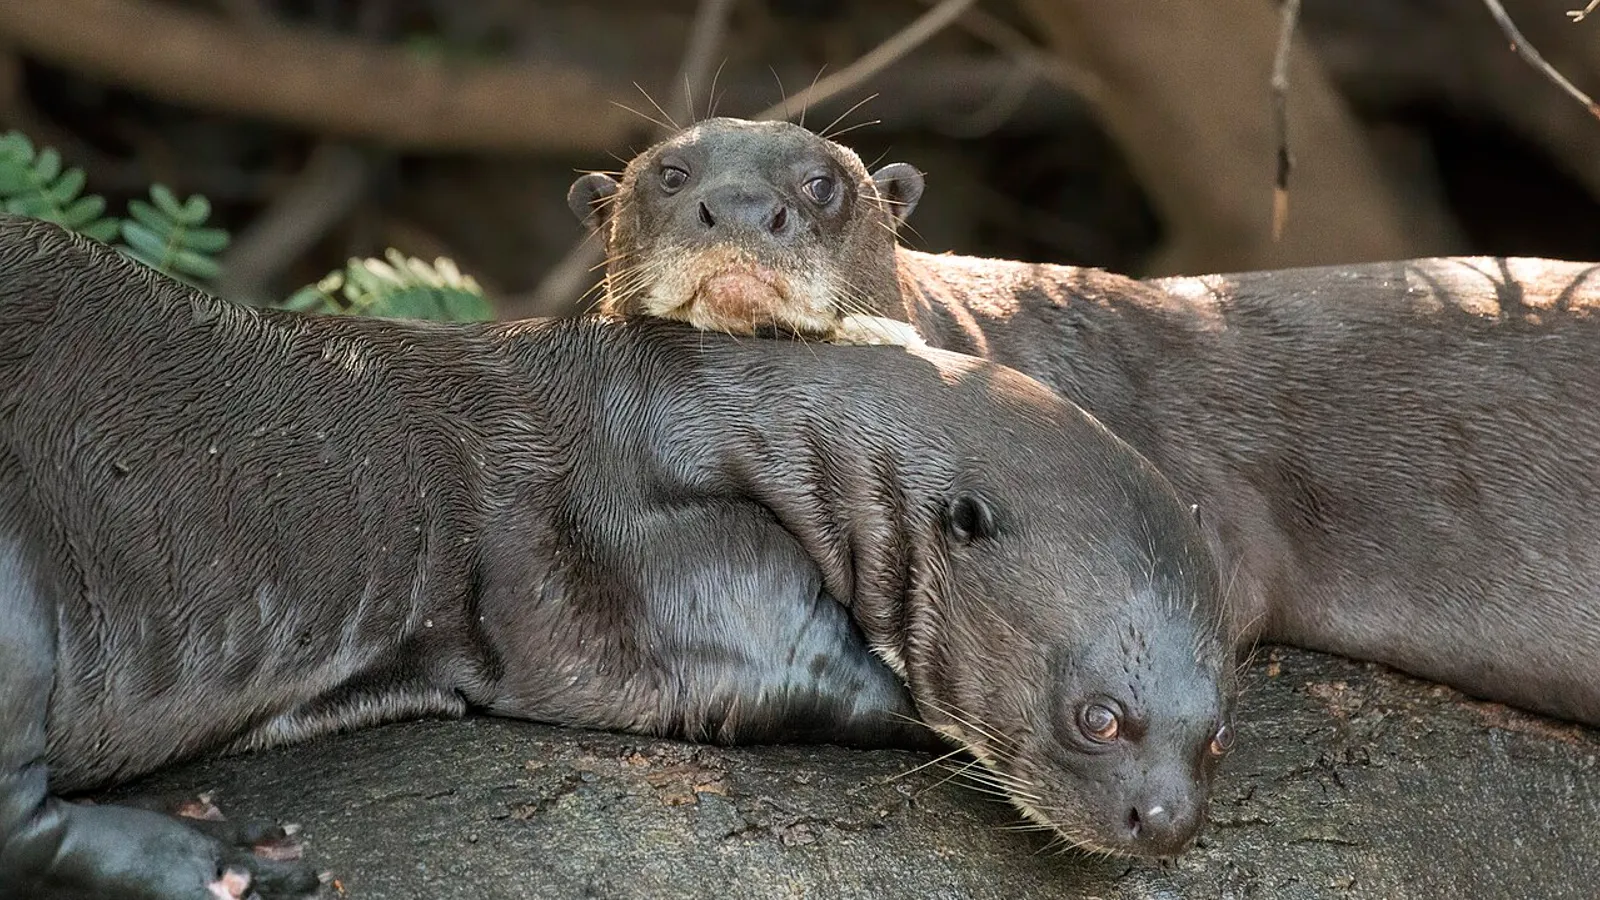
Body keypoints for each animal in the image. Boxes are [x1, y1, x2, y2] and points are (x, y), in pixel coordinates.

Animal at [0, 216, 1232, 899]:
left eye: (1216, 736)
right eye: (1099, 718)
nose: (1166, 823)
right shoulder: (620, 549)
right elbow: (768, 663)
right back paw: (217, 861)